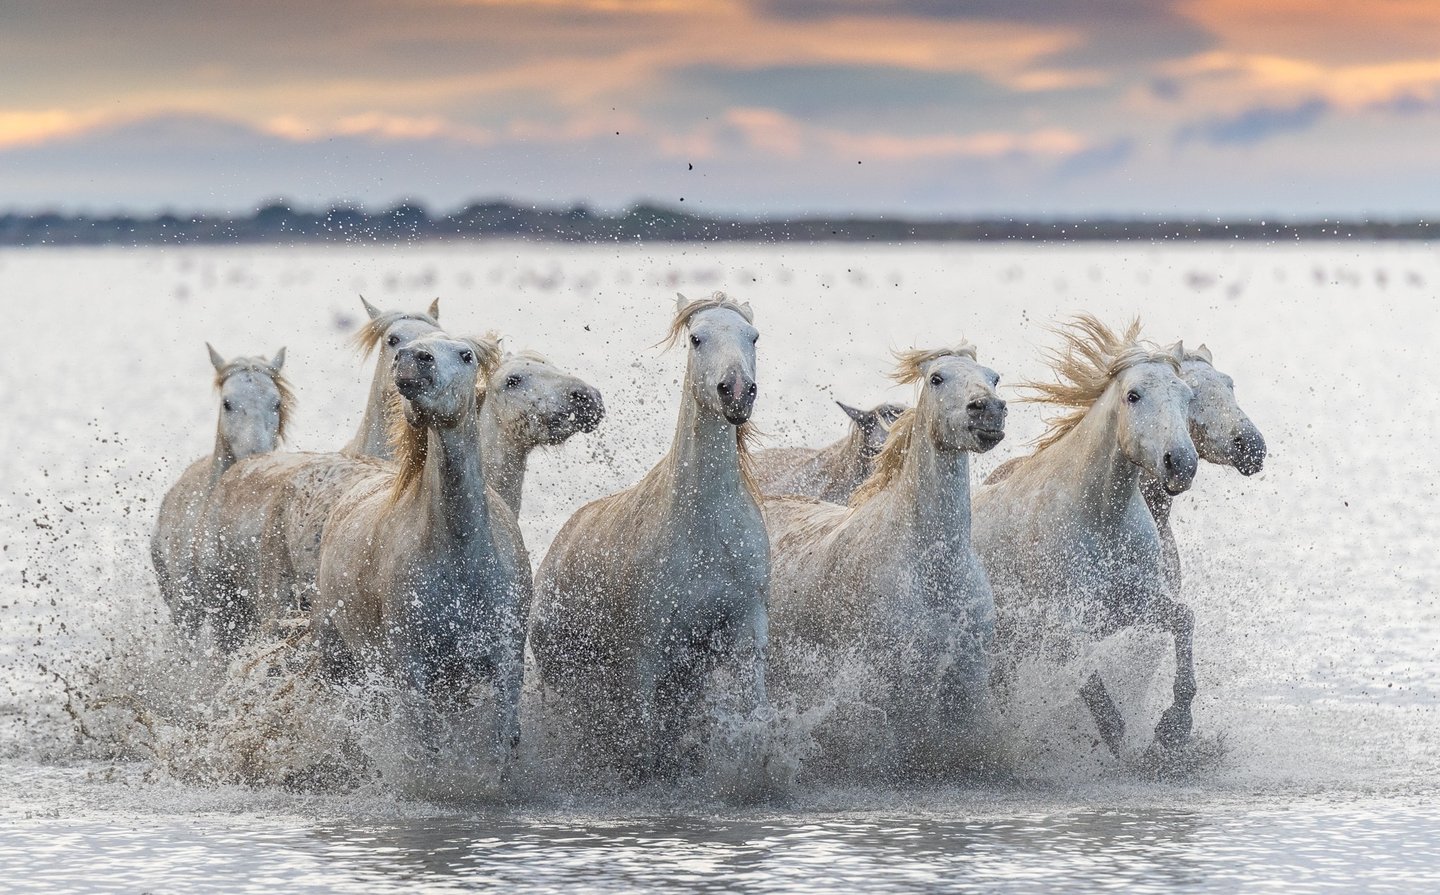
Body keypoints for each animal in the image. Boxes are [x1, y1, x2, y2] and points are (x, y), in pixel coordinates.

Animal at [311, 333, 532, 761]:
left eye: (466, 355)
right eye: (407, 346)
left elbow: (505, 739)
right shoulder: (412, 669)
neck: (463, 563)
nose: (414, 359)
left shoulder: (506, 659)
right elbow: (427, 746)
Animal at [529, 292, 768, 778]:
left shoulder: (745, 626)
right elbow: (642, 742)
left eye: (753, 336)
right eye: (696, 339)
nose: (736, 391)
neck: (705, 528)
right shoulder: (645, 650)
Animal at [972, 315, 1199, 757]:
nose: (1181, 463)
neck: (1099, 519)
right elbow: (1088, 679)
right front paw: (1119, 740)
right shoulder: (1063, 626)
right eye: (1133, 395)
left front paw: (1175, 726)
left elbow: (1184, 619)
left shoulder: (1131, 604)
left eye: (1187, 396)